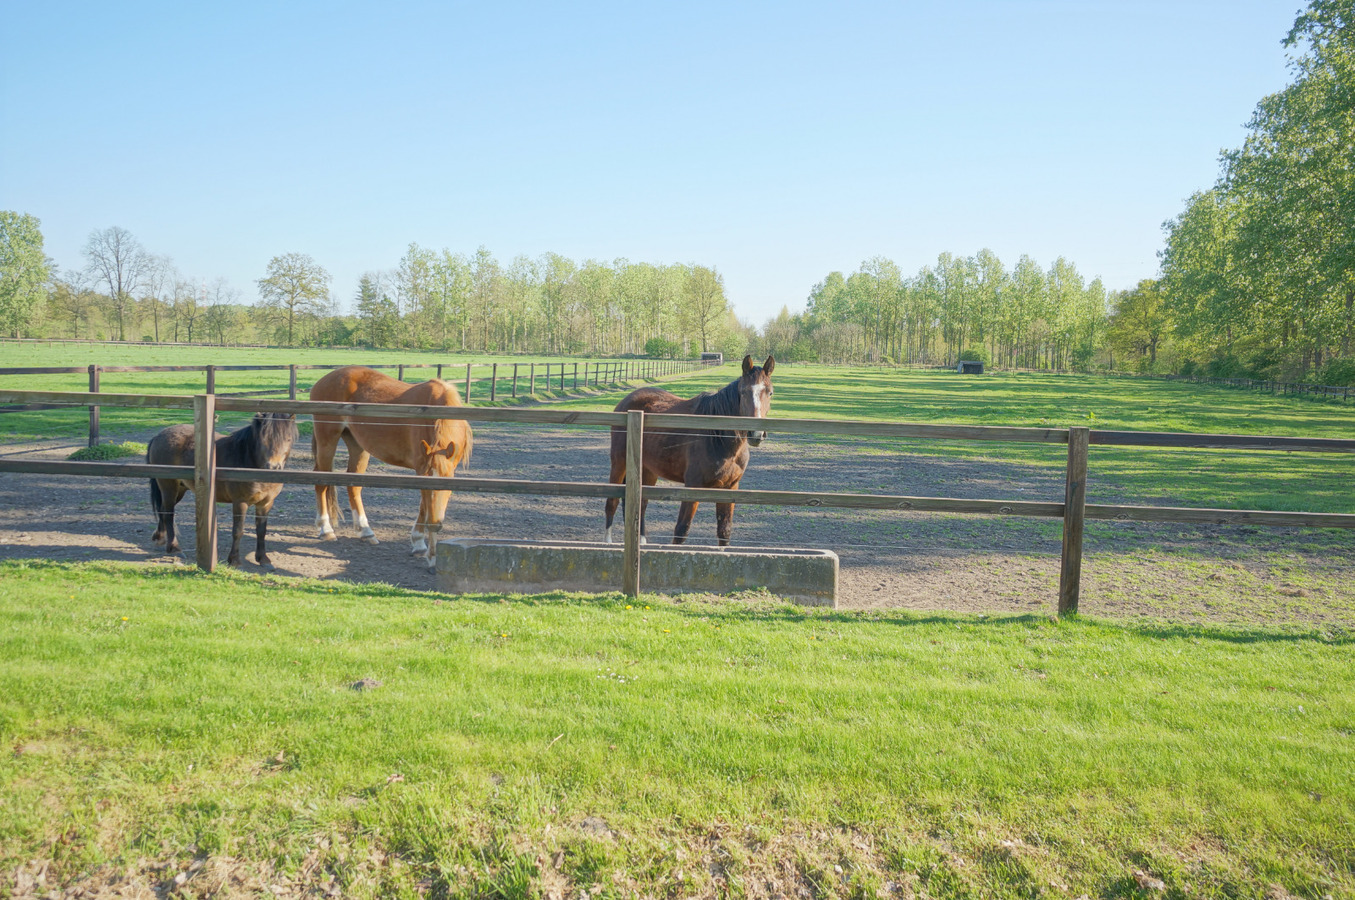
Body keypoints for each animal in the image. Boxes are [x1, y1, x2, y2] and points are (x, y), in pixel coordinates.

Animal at [147, 412, 298, 566]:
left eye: (288, 439)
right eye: (264, 439)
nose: (273, 467)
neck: (247, 459)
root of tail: (158, 436)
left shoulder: (266, 504)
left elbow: (261, 530)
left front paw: (263, 559)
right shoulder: (240, 502)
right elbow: (238, 530)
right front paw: (234, 559)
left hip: (180, 489)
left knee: (162, 509)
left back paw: (160, 537)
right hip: (168, 487)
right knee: (168, 513)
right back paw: (174, 548)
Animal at [604, 355, 775, 544]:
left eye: (770, 392)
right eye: (743, 391)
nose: (756, 434)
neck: (717, 437)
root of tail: (625, 402)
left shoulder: (730, 488)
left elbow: (724, 532)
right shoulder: (692, 487)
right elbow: (681, 530)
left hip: (647, 470)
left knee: (640, 505)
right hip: (619, 463)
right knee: (611, 503)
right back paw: (607, 543)